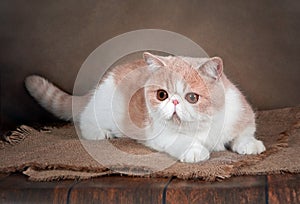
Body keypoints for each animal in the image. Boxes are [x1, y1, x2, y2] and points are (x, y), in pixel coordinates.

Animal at [25, 52, 264, 163]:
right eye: (162, 95)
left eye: (192, 97)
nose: (174, 101)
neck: (205, 125)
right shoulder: (162, 135)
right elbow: (184, 141)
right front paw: (195, 151)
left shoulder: (242, 115)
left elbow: (244, 133)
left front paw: (250, 145)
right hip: (104, 109)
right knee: (85, 119)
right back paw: (101, 133)